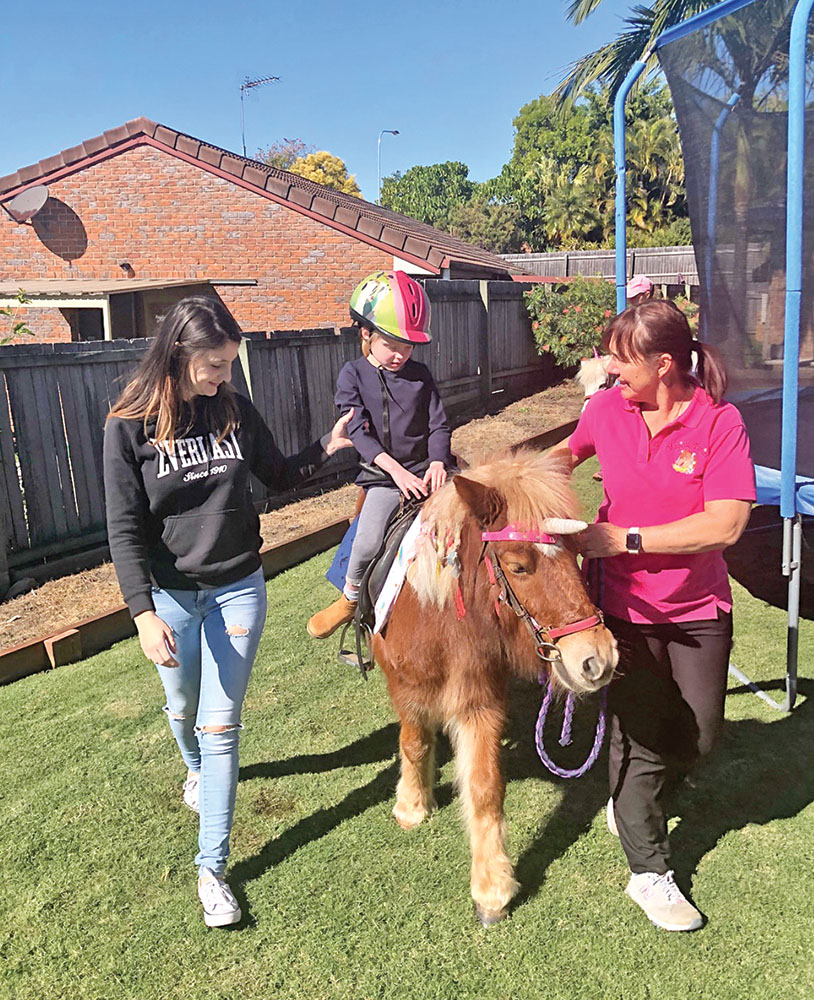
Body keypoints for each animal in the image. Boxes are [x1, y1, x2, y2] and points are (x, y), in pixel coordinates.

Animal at [372, 450, 620, 924]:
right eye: (519, 566)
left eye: (577, 553)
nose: (597, 658)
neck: (438, 619)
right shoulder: (404, 687)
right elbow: (413, 743)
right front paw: (412, 805)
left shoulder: (480, 701)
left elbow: (486, 787)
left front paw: (492, 886)